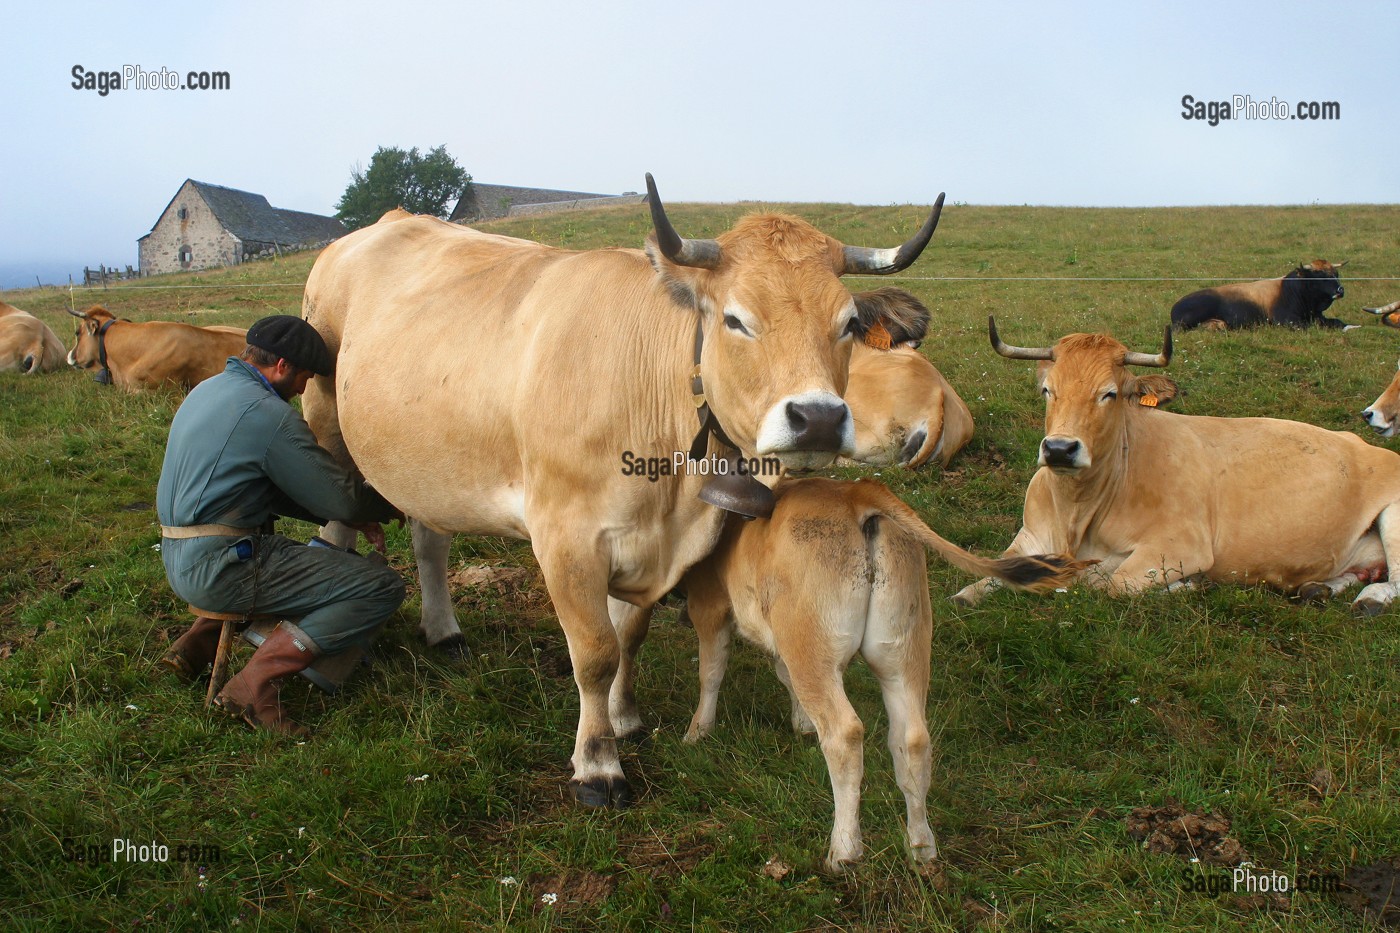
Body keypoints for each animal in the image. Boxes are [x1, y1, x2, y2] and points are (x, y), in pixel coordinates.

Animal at [300, 178, 947, 807]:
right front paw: (597, 765)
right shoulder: (566, 537)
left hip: (430, 460)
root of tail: (386, 222)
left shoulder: (643, 543)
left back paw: (444, 631)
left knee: (429, 540)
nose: (817, 418)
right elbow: (594, 652)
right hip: (325, 420)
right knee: (333, 527)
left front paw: (624, 716)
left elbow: (627, 636)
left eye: (849, 324)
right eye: (735, 319)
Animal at [681, 477, 1084, 871]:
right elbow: (783, 675)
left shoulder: (709, 605)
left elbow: (711, 671)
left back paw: (844, 850)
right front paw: (801, 723)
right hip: (904, 648)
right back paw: (921, 845)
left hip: (812, 644)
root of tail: (857, 490)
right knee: (912, 739)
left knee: (844, 734)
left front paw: (697, 731)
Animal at [953, 317, 1400, 614]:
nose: (1060, 449)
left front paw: (1187, 586)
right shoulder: (1030, 538)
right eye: (1048, 390)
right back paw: (1317, 589)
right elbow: (977, 583)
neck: (1075, 515)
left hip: (1393, 516)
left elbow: (1107, 582)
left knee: (1394, 582)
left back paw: (1370, 600)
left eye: (1110, 394)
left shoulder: (1180, 545)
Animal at [1170, 260, 1349, 330]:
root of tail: (1175, 307)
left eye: (1336, 274)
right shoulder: (1286, 321)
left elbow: (1338, 322)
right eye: (1320, 275)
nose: (1340, 290)